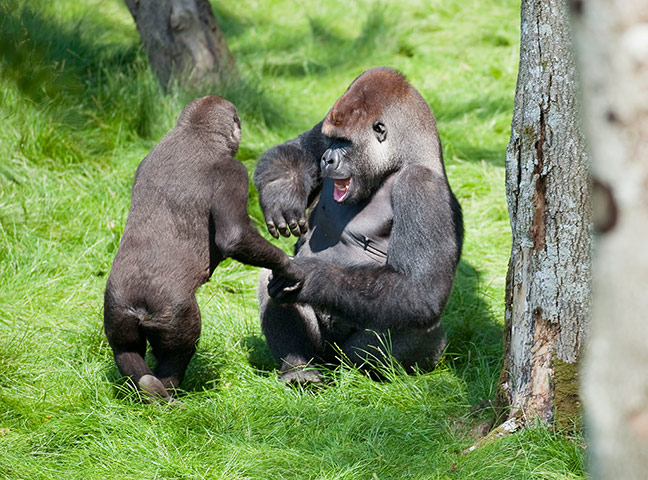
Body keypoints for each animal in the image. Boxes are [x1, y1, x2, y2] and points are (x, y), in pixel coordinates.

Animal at [104, 95, 302, 402]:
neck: (193, 133)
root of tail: (138, 306)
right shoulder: (234, 171)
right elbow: (234, 236)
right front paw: (289, 266)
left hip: (117, 308)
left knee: (126, 350)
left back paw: (147, 388)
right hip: (174, 315)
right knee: (178, 352)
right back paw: (167, 394)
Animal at [253, 67, 463, 384]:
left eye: (344, 142)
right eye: (331, 140)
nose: (327, 159)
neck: (401, 161)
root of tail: (332, 361)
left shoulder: (422, 187)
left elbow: (419, 289)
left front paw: (310, 276)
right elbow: (295, 147)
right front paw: (283, 188)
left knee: (413, 322)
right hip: (323, 353)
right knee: (269, 276)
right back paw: (299, 367)